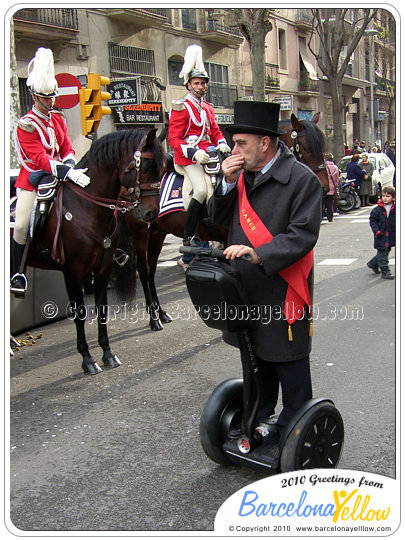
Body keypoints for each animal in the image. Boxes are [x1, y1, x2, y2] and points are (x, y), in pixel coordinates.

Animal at [13, 128, 164, 374]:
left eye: (163, 168)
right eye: (147, 167)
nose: (151, 214)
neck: (87, 207)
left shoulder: (103, 267)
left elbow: (101, 309)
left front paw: (108, 353)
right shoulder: (73, 271)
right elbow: (80, 313)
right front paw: (87, 358)